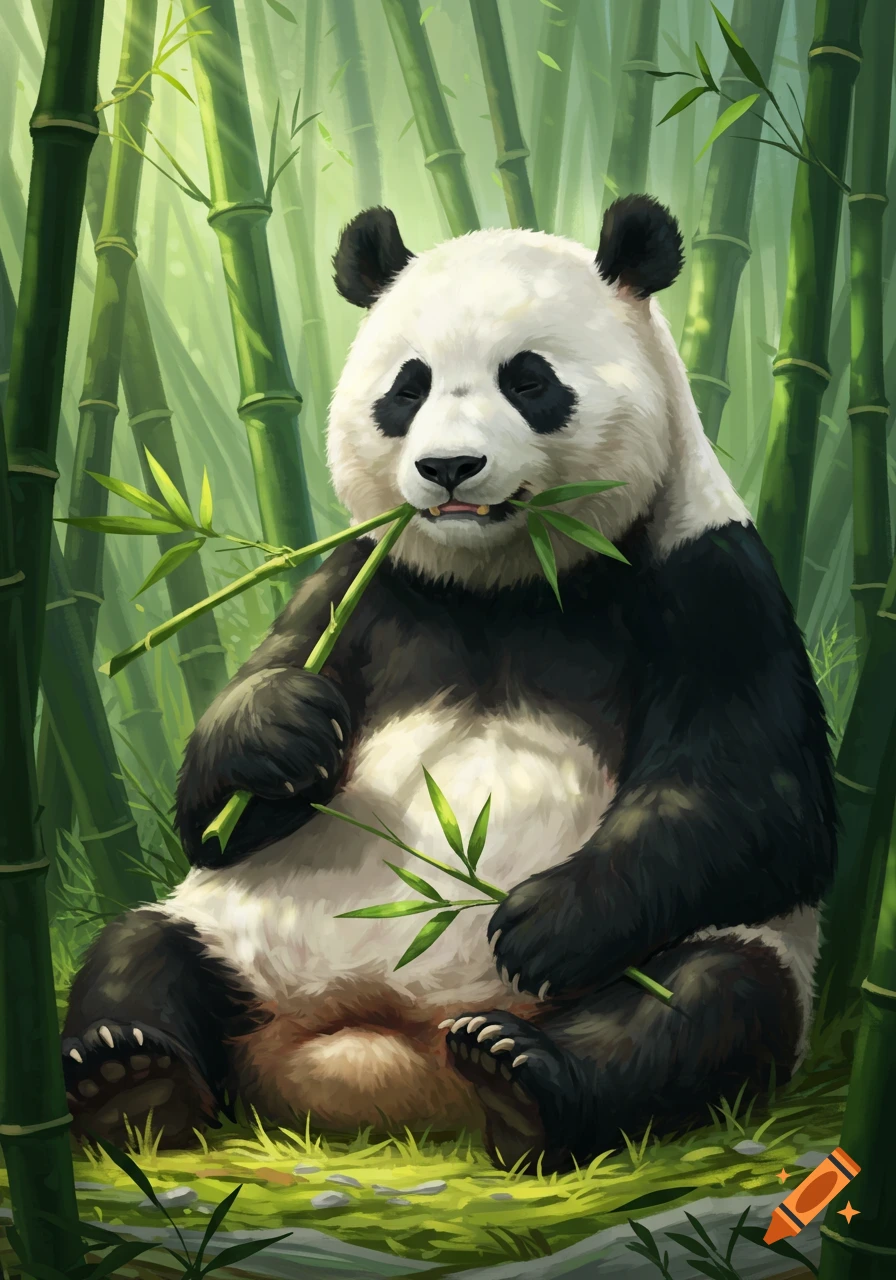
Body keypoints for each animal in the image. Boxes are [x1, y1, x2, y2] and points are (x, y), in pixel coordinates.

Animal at [62, 196, 835, 1174]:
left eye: (530, 380)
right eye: (410, 386)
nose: (449, 468)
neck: (502, 582)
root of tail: (386, 1051)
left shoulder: (705, 575)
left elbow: (760, 799)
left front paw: (544, 921)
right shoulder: (360, 583)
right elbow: (213, 815)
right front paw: (279, 731)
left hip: (727, 955)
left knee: (707, 998)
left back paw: (523, 1078)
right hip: (241, 936)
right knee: (141, 947)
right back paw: (129, 1080)